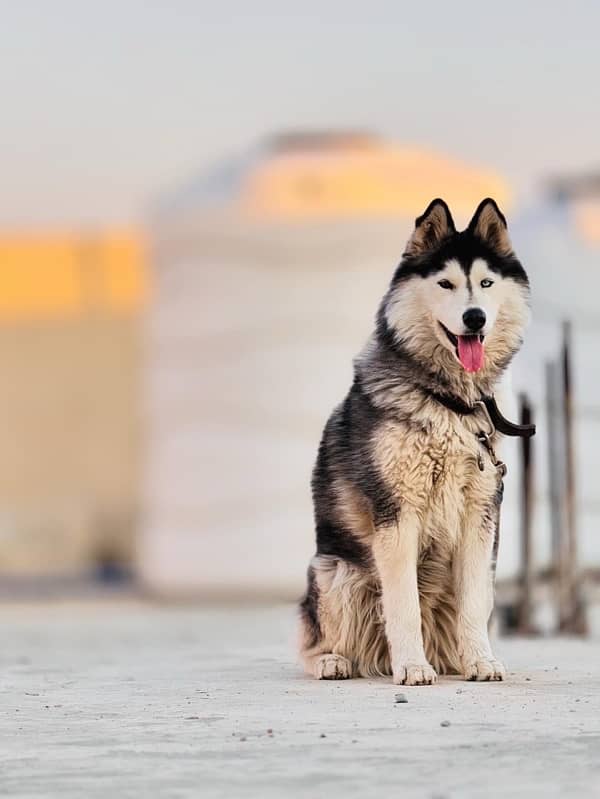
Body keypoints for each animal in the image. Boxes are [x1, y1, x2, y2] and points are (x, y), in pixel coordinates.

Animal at [298, 197, 528, 684]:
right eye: (445, 283)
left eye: (486, 283)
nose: (475, 317)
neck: (452, 403)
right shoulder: (396, 511)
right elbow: (402, 604)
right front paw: (411, 666)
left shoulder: (481, 511)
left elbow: (472, 605)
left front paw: (481, 660)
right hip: (336, 573)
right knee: (312, 638)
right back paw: (334, 660)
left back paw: (456, 658)